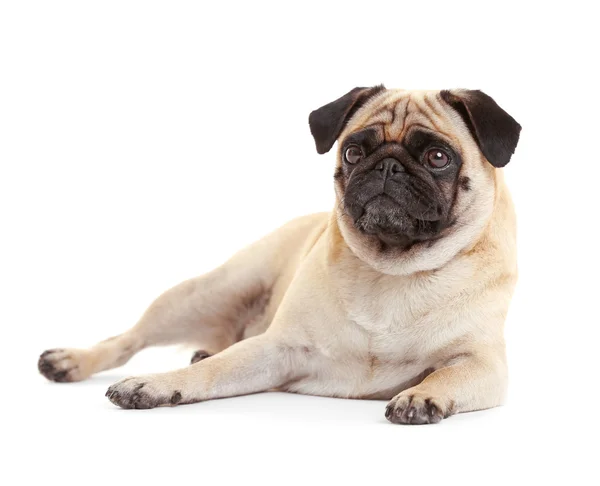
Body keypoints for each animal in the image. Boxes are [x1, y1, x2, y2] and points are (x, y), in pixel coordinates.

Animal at [37, 87, 516, 426]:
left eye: (438, 157)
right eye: (353, 152)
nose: (387, 166)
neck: (391, 271)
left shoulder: (482, 363)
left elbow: (447, 373)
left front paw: (421, 393)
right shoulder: (277, 350)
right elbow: (214, 372)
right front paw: (157, 385)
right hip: (208, 292)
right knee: (126, 340)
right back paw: (71, 361)